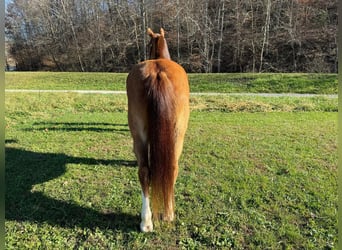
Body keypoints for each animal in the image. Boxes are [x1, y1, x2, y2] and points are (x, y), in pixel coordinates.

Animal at [126, 27, 190, 232]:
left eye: (148, 44)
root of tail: (158, 72)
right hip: (178, 136)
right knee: (172, 168)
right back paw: (168, 214)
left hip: (139, 136)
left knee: (145, 171)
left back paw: (146, 221)